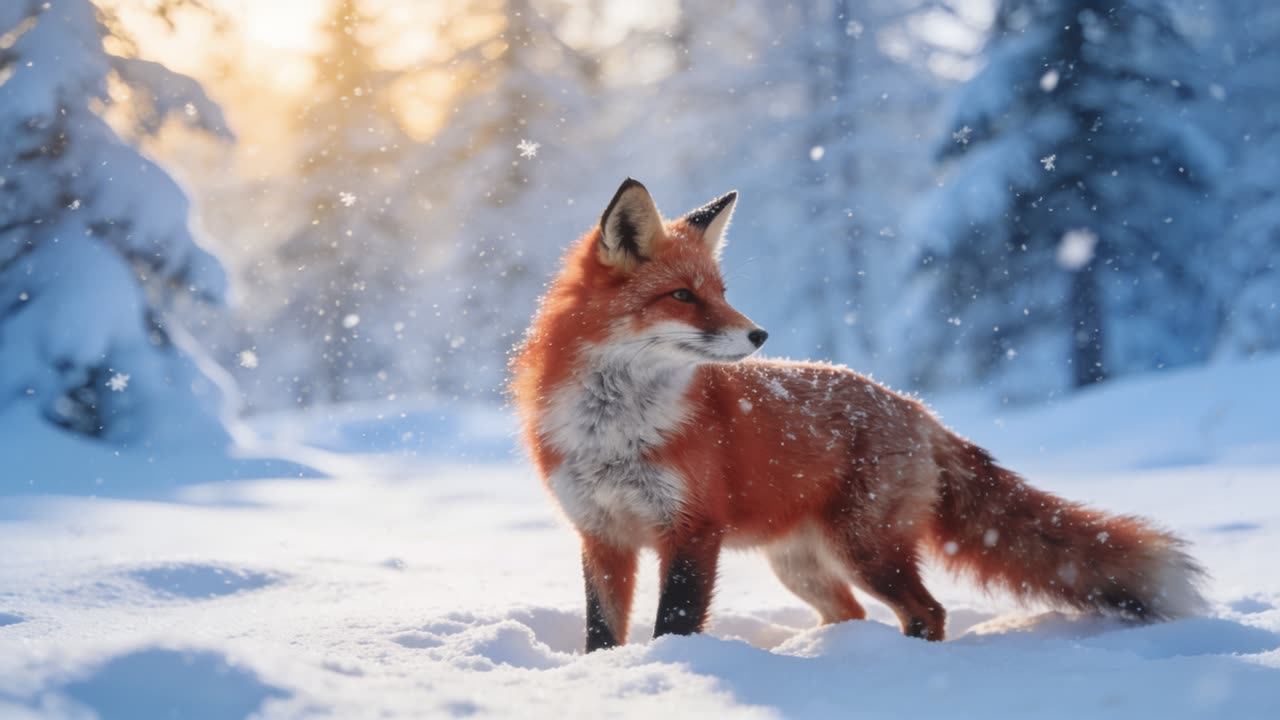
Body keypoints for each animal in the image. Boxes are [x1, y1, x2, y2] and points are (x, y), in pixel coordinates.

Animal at [510, 178, 1206, 653]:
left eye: (723, 293)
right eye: (682, 295)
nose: (760, 334)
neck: (612, 430)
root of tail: (915, 407)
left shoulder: (692, 530)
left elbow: (673, 627)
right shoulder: (602, 534)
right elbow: (602, 634)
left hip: (865, 549)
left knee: (928, 612)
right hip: (803, 565)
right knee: (853, 614)